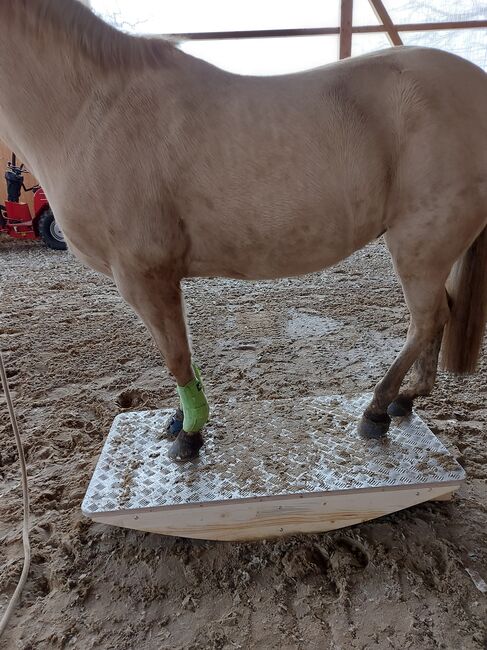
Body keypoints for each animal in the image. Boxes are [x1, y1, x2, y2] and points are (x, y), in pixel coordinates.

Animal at [0, 0, 487, 458]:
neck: (93, 109)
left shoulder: (143, 275)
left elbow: (176, 356)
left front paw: (191, 434)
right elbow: (181, 353)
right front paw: (179, 421)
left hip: (419, 246)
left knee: (427, 319)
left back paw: (377, 409)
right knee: (439, 313)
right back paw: (406, 399)